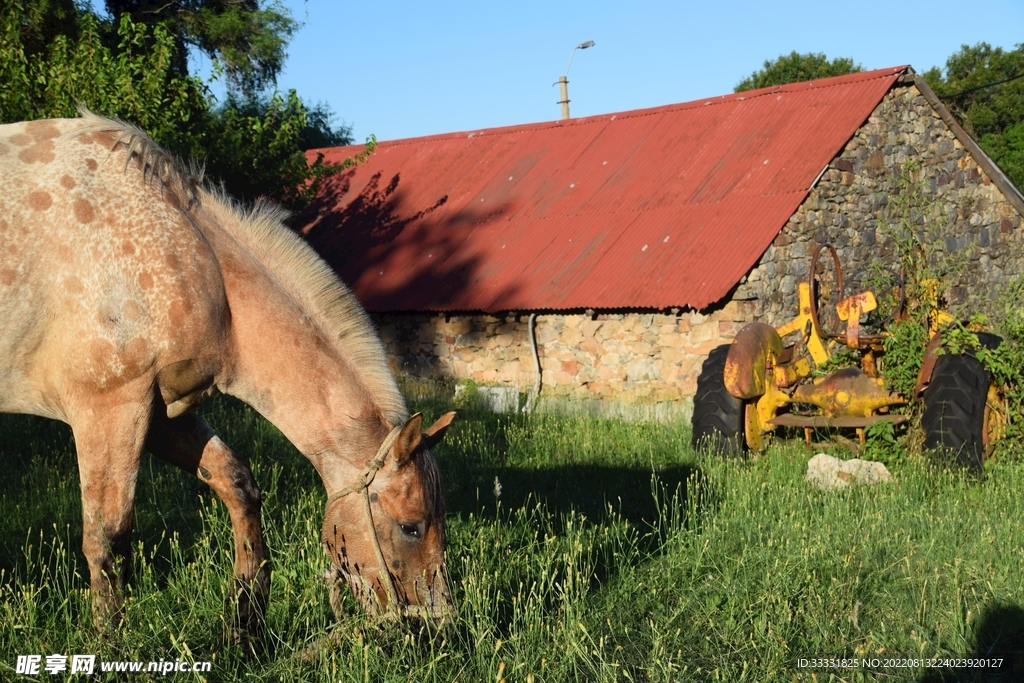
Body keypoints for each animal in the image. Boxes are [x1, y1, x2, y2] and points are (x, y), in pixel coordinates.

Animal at [0, 111, 455, 648]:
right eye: (411, 527)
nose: (439, 630)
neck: (188, 252)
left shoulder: (162, 411)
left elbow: (237, 484)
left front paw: (246, 625)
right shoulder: (109, 408)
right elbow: (107, 537)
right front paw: (111, 647)